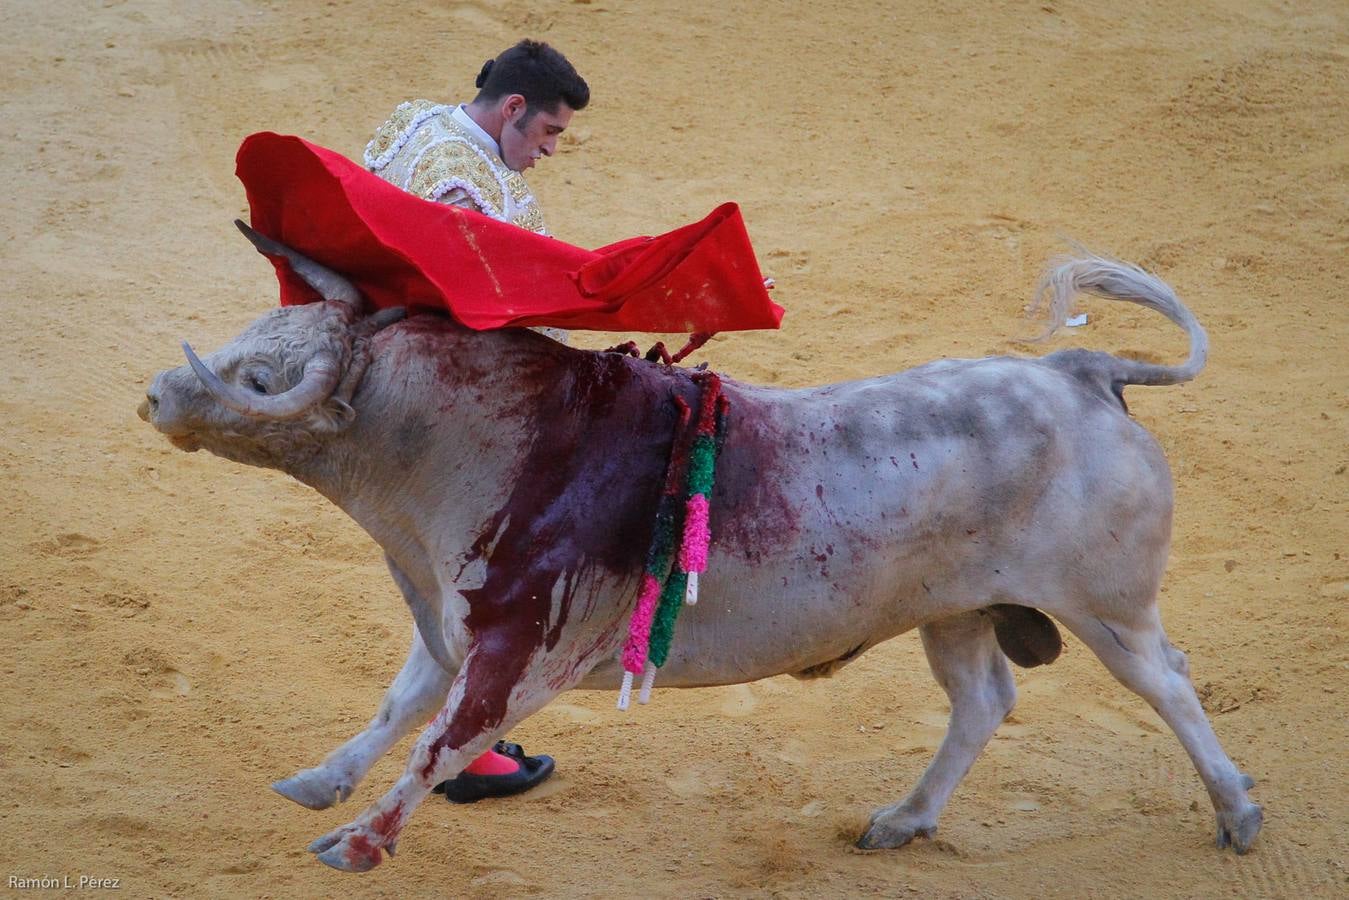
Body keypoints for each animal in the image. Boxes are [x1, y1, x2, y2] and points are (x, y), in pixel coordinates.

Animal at [142, 226, 1257, 874]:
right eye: (250, 341)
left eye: (260, 381)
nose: (157, 392)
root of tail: (1082, 371)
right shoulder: (459, 622)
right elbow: (398, 707)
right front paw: (319, 784)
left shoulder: (518, 648)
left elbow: (439, 739)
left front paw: (357, 842)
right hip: (956, 609)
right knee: (983, 701)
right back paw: (900, 821)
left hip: (1104, 607)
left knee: (1165, 680)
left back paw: (1237, 814)